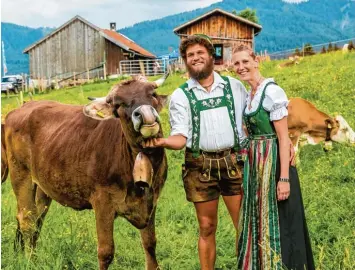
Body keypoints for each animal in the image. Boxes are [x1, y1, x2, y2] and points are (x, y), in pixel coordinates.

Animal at [2, 74, 170, 270]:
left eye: (152, 94)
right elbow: (105, 252)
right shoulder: (102, 202)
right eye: (118, 105)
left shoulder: (151, 201)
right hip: (21, 175)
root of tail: (22, 107)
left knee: (36, 220)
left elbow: (150, 244)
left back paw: (31, 258)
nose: (145, 114)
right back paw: (30, 261)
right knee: (27, 221)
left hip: (42, 186)